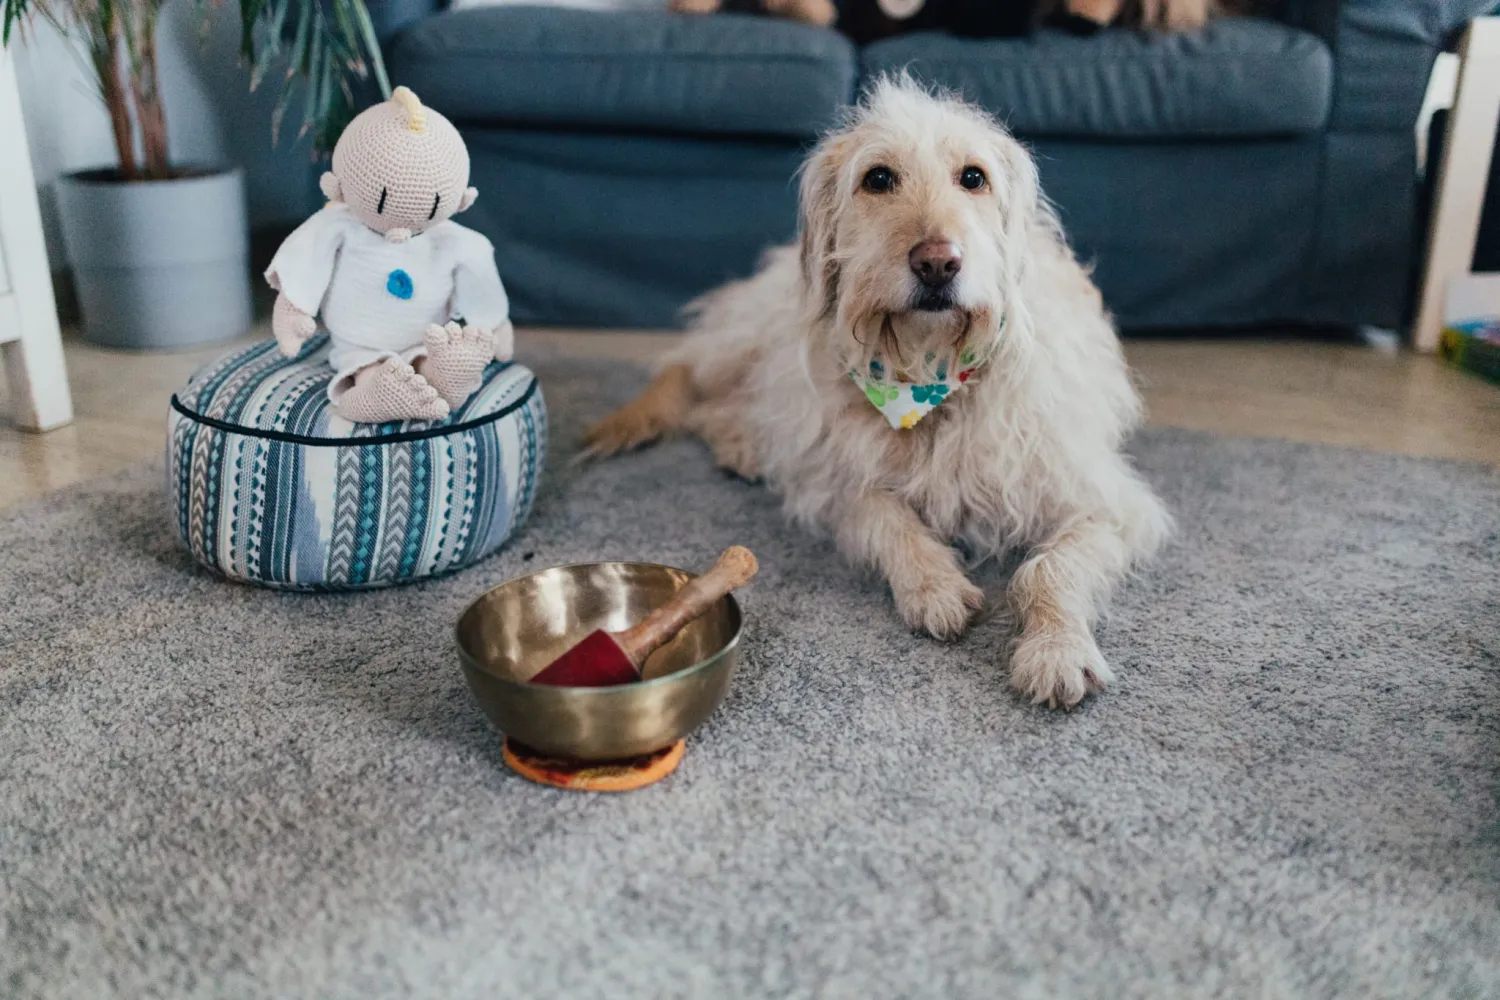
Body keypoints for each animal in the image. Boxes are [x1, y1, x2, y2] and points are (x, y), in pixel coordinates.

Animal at [585, 76, 1170, 704]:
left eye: (973, 177)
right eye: (879, 178)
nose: (937, 263)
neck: (928, 376)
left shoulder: (1104, 501)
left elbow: (1048, 567)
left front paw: (1057, 651)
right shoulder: (832, 478)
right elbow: (883, 514)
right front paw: (934, 586)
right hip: (748, 346)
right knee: (690, 380)